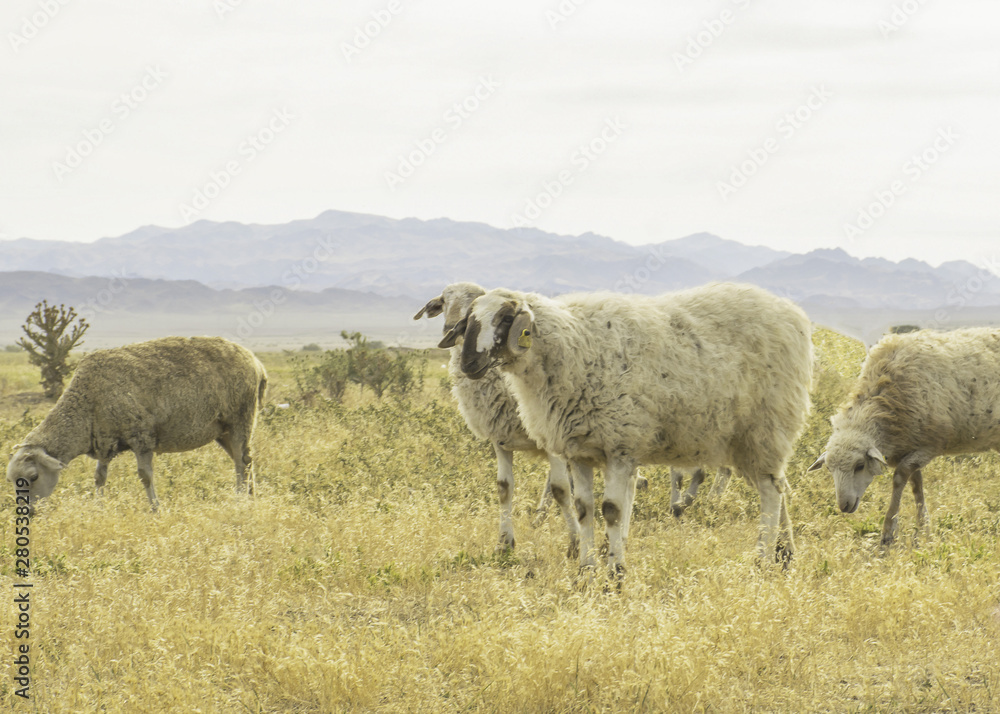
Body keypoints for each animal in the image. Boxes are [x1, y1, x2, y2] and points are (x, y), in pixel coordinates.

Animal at [4, 336, 270, 512]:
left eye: (33, 477)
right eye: (11, 481)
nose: (27, 513)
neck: (86, 403)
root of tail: (258, 363)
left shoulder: (142, 438)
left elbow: (145, 476)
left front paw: (155, 508)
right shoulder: (104, 440)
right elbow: (99, 477)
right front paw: (98, 507)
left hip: (242, 417)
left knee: (243, 462)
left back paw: (239, 500)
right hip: (223, 430)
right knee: (245, 462)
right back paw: (251, 498)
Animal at [450, 280, 816, 576]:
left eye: (505, 318)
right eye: (469, 321)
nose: (468, 363)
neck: (571, 347)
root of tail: (795, 315)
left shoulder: (619, 446)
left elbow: (612, 511)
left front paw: (616, 575)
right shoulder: (578, 450)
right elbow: (583, 510)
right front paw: (586, 572)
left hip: (766, 429)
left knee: (771, 493)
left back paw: (763, 560)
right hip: (749, 442)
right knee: (779, 487)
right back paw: (784, 553)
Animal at [808, 326, 1000, 544]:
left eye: (860, 466)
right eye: (829, 469)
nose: (844, 506)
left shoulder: (931, 445)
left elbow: (900, 477)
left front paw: (888, 532)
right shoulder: (911, 446)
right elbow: (917, 484)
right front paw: (923, 526)